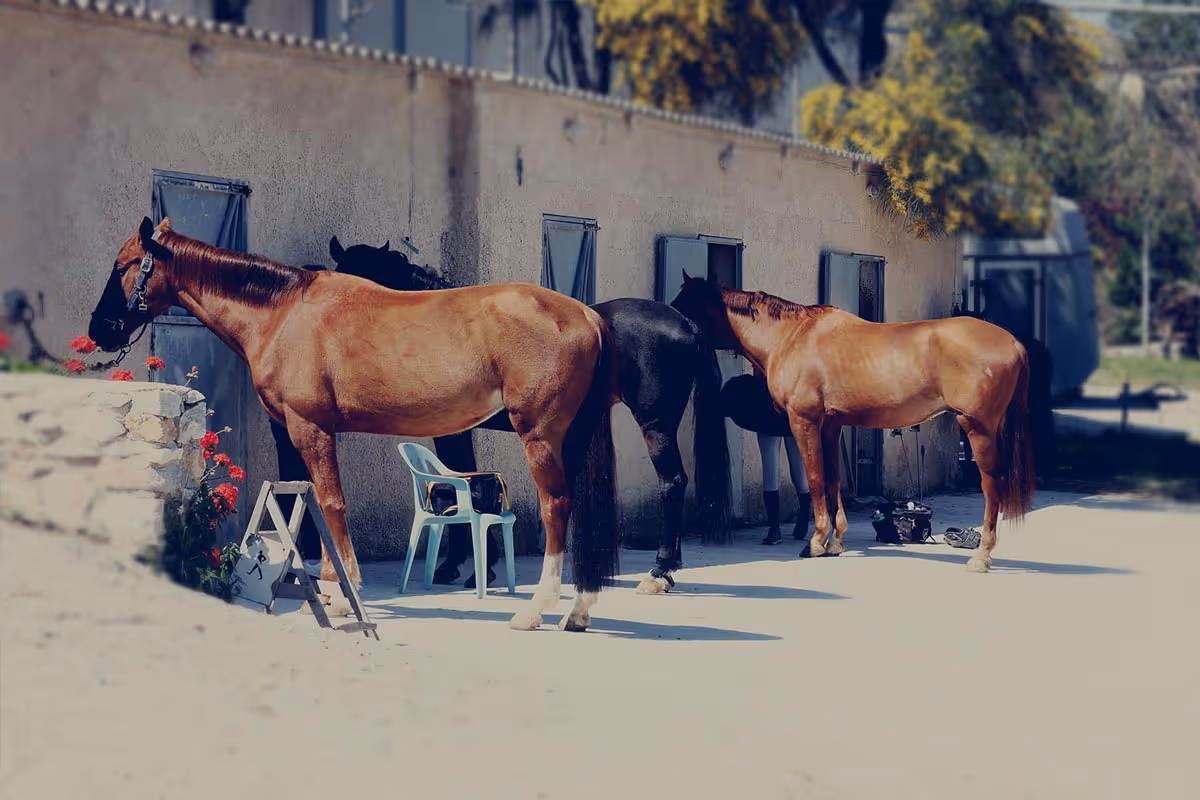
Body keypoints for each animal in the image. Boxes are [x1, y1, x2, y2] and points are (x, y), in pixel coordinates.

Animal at [88, 217, 619, 632]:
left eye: (123, 265)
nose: (98, 329)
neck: (283, 314)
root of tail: (587, 316)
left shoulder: (309, 427)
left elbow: (329, 503)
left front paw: (342, 594)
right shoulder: (299, 430)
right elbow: (310, 504)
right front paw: (324, 588)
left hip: (540, 436)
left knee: (556, 507)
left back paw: (535, 609)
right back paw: (579, 610)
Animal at [324, 236, 733, 594]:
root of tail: (685, 323)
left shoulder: (452, 431)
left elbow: (459, 484)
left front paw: (463, 567)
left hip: (655, 424)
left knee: (672, 482)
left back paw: (659, 571)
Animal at [670, 274, 1035, 572]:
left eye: (684, 305)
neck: (791, 336)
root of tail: (1013, 342)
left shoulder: (804, 422)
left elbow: (815, 480)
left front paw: (815, 543)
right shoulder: (832, 426)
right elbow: (833, 481)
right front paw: (835, 541)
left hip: (978, 428)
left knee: (992, 486)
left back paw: (981, 557)